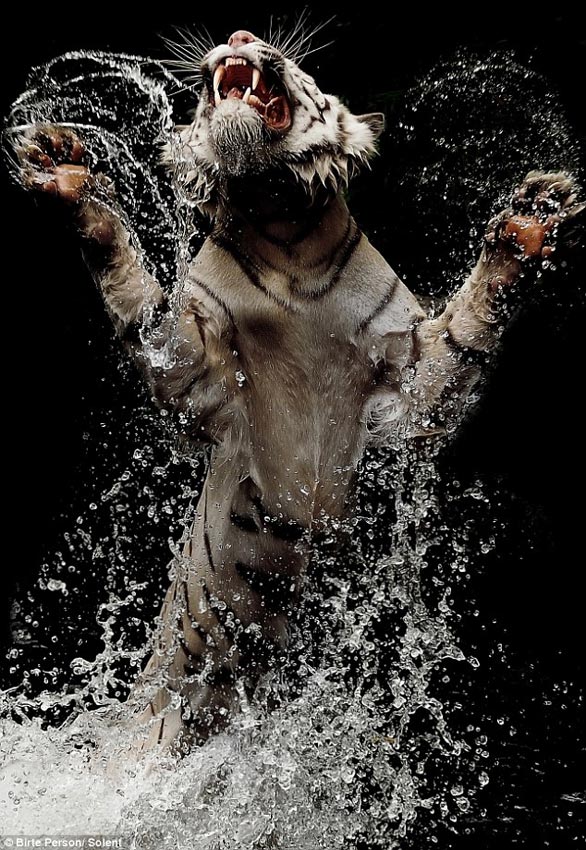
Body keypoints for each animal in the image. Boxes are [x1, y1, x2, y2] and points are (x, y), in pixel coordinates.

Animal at [14, 28, 582, 755]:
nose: (238, 37)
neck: (285, 238)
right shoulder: (196, 377)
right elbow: (138, 300)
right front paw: (66, 174)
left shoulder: (408, 393)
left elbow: (465, 335)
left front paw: (532, 217)